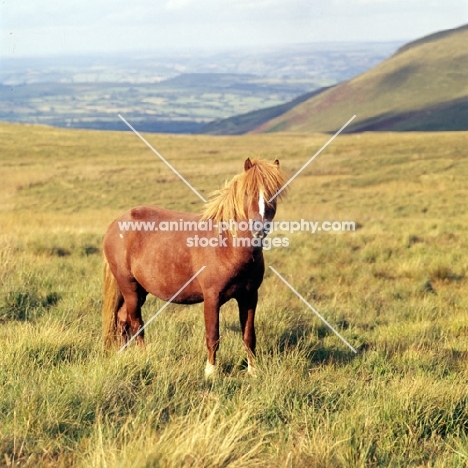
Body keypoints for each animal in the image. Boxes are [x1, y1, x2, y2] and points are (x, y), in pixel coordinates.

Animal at [102, 158, 286, 376]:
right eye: (247, 192)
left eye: (274, 193)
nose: (259, 229)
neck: (226, 245)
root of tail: (115, 224)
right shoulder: (212, 298)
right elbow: (213, 336)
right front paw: (210, 373)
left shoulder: (249, 297)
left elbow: (249, 336)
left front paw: (253, 372)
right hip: (129, 287)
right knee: (135, 322)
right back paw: (144, 357)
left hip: (140, 290)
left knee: (122, 319)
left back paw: (121, 355)